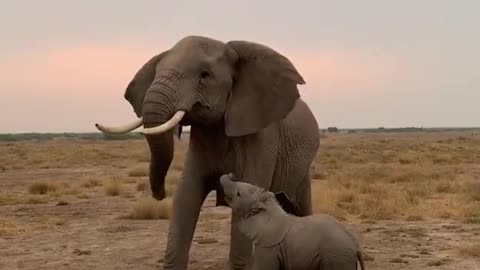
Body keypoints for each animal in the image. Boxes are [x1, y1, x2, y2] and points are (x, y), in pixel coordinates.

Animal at [219, 174, 366, 268]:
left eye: (238, 194)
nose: (231, 174)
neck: (269, 208)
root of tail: (356, 245)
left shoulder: (269, 247)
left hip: (336, 257)